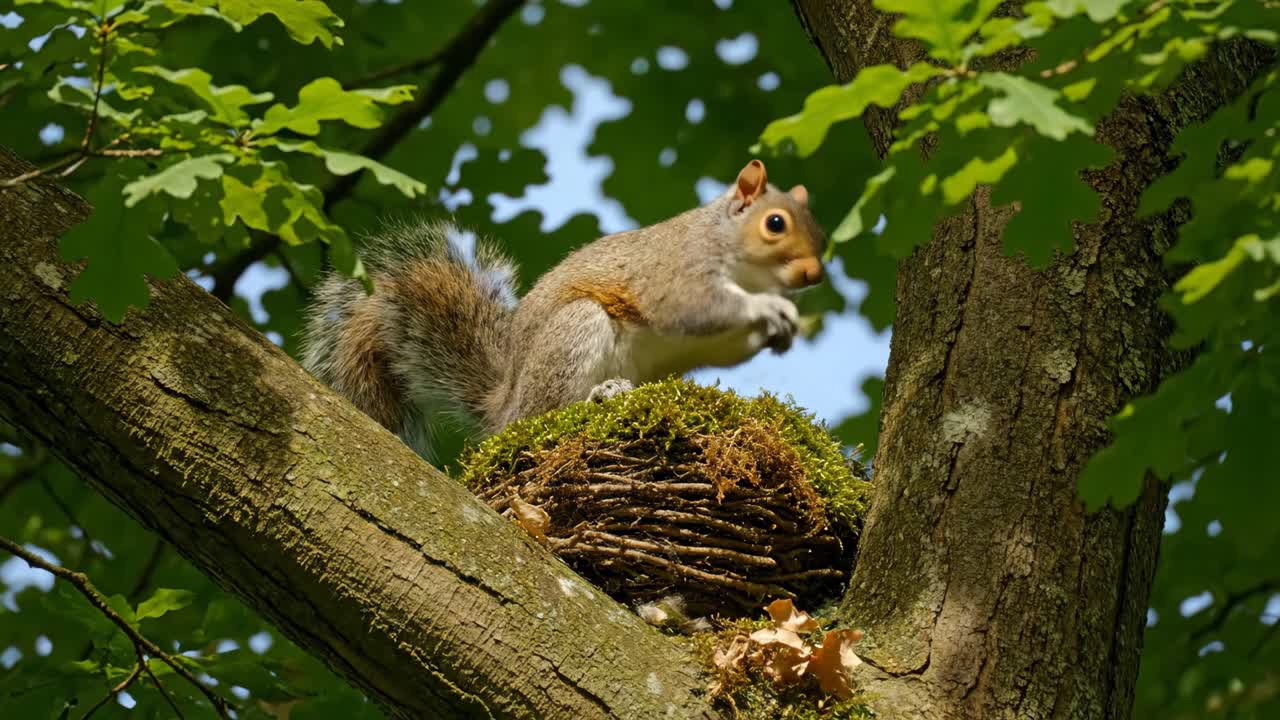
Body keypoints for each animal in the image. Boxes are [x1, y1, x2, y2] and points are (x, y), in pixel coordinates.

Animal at [300, 159, 827, 456]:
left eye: (821, 234)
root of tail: (504, 407)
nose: (813, 275)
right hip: (574, 332)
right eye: (775, 224)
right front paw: (767, 309)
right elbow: (694, 306)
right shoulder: (677, 269)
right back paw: (598, 396)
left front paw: (780, 325)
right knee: (547, 414)